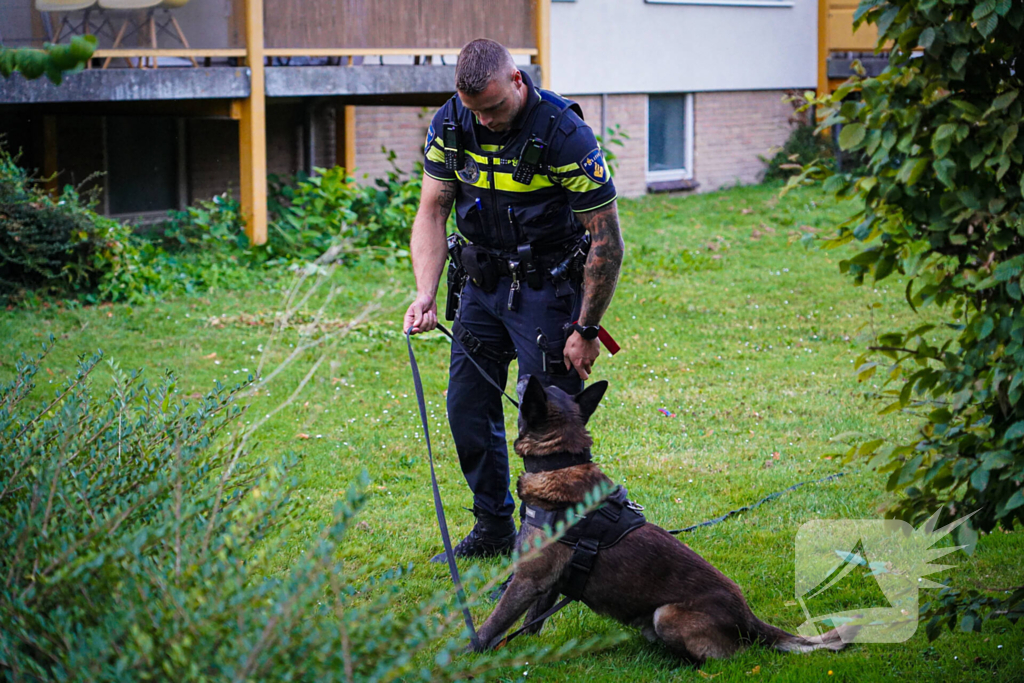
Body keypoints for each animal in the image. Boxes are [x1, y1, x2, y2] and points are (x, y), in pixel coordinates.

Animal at [473, 376, 856, 663]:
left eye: (529, 389)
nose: (523, 375)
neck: (559, 463)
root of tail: (750, 618)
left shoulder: (527, 580)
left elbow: (491, 627)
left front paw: (468, 656)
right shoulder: (548, 585)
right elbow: (530, 625)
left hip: (667, 615)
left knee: (733, 656)